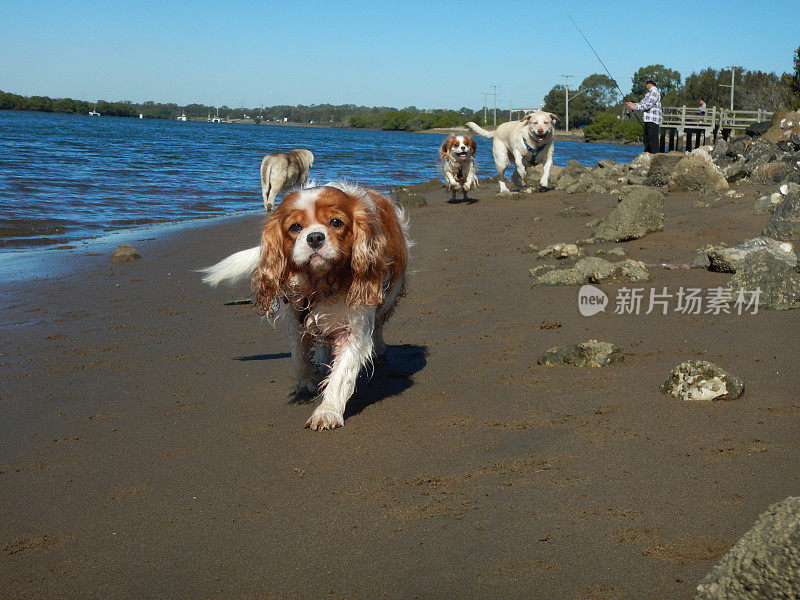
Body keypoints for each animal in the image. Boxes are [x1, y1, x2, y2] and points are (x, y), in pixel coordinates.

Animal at [200, 183, 412, 432]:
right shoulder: (297, 317)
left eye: (336, 222)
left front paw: (327, 411)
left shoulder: (355, 325)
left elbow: (341, 373)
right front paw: (310, 378)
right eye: (295, 227)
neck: (321, 282)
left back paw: (377, 348)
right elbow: (298, 358)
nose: (315, 237)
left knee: (378, 323)